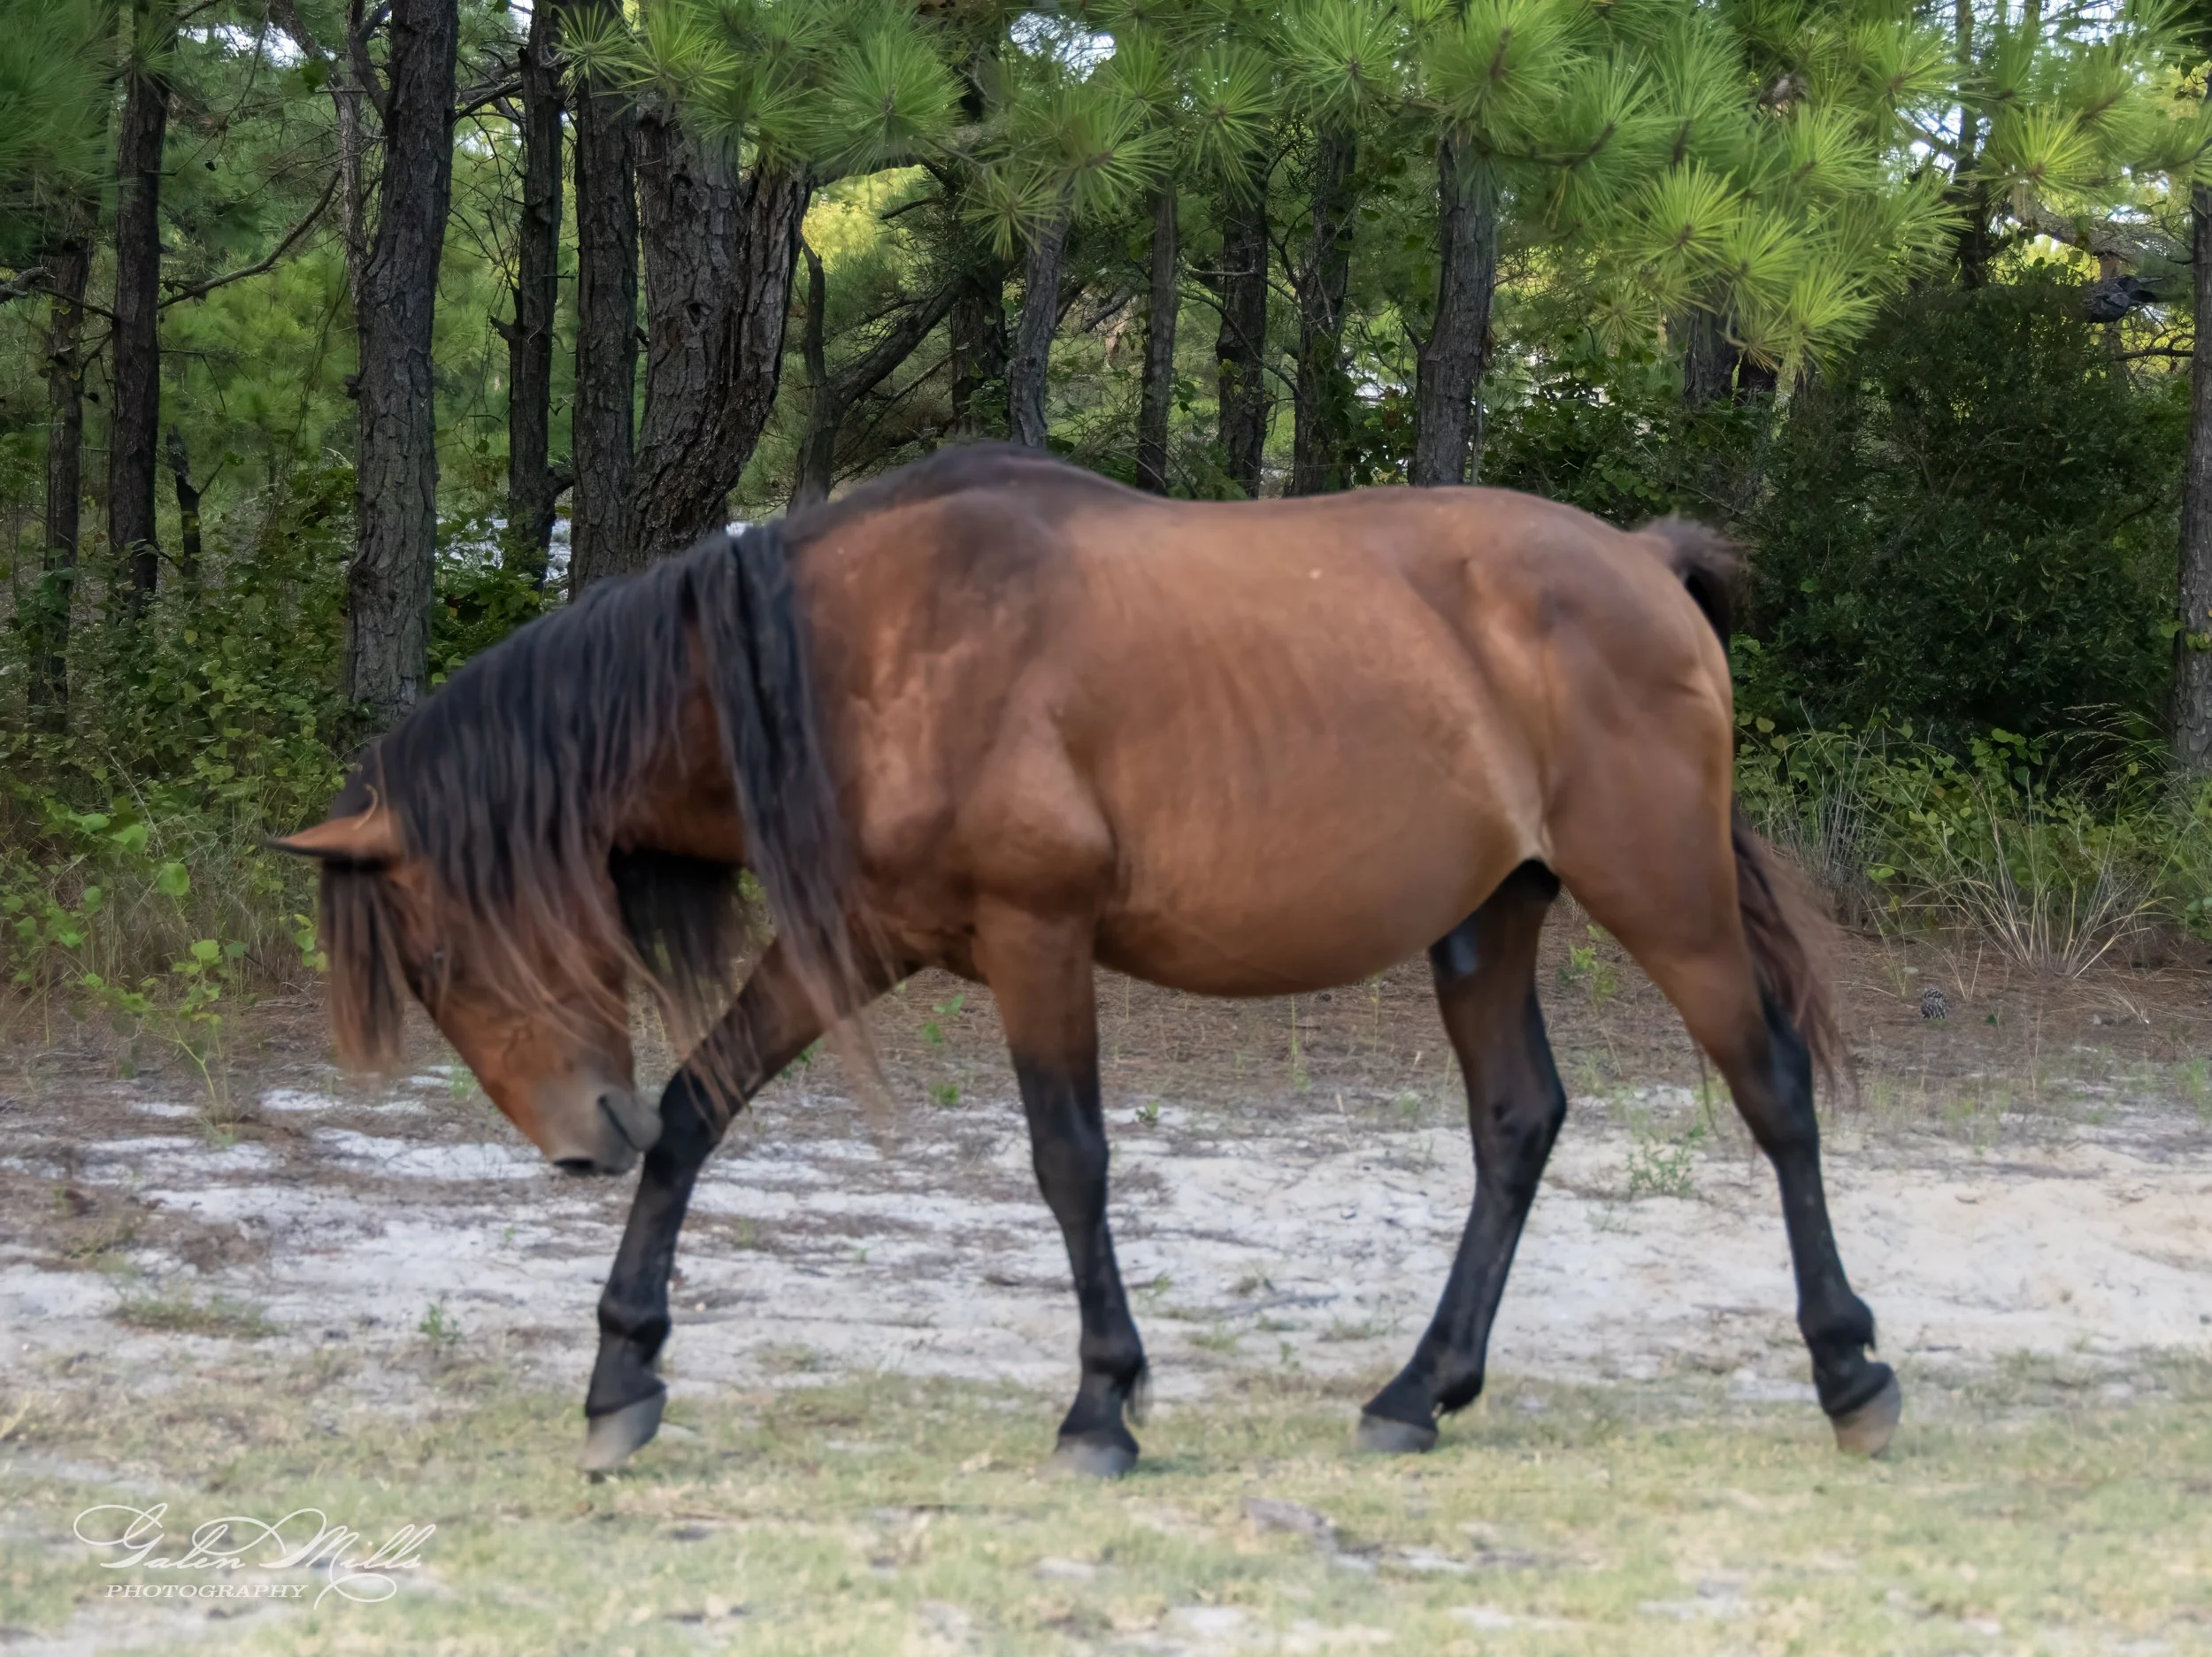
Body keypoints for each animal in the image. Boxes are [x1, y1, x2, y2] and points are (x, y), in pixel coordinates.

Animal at [273, 444, 1899, 1476]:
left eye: (434, 949)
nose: (573, 1141)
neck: (856, 658)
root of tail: (1644, 562)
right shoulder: (854, 944)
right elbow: (695, 1113)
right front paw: (622, 1377)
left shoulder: (1035, 937)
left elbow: (1070, 1161)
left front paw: (1102, 1408)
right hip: (1490, 918)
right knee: (1517, 1123)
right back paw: (1416, 1393)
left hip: (1663, 893)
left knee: (1774, 1092)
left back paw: (1851, 1373)